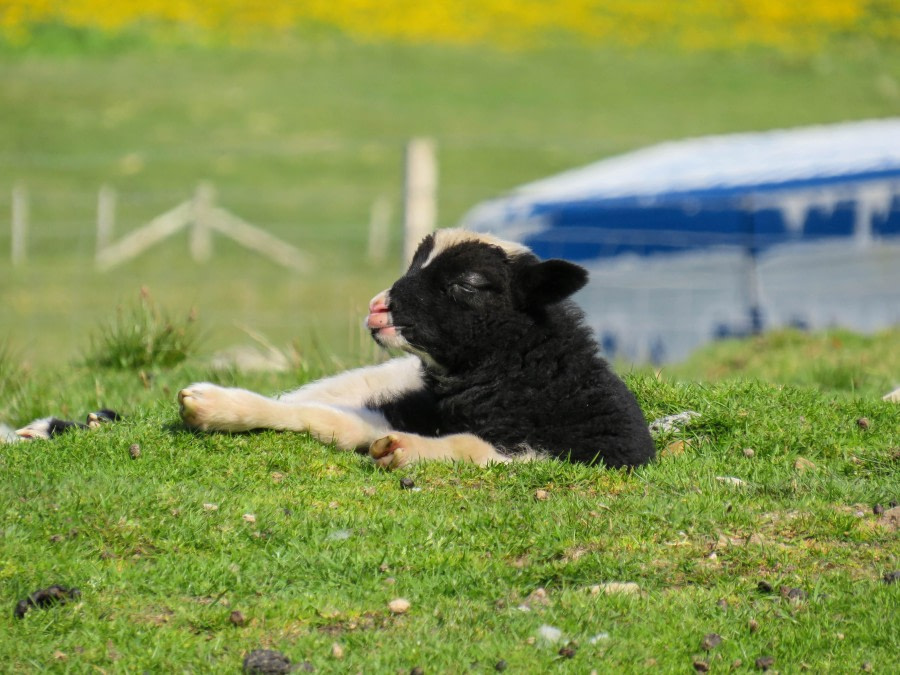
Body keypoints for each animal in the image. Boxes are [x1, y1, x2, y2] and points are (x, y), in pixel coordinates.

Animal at [178, 228, 652, 470]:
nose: (377, 308)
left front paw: (406, 450)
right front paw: (216, 406)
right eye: (414, 264)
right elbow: (327, 419)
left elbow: (475, 449)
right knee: (301, 398)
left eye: (469, 284)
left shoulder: (594, 451)